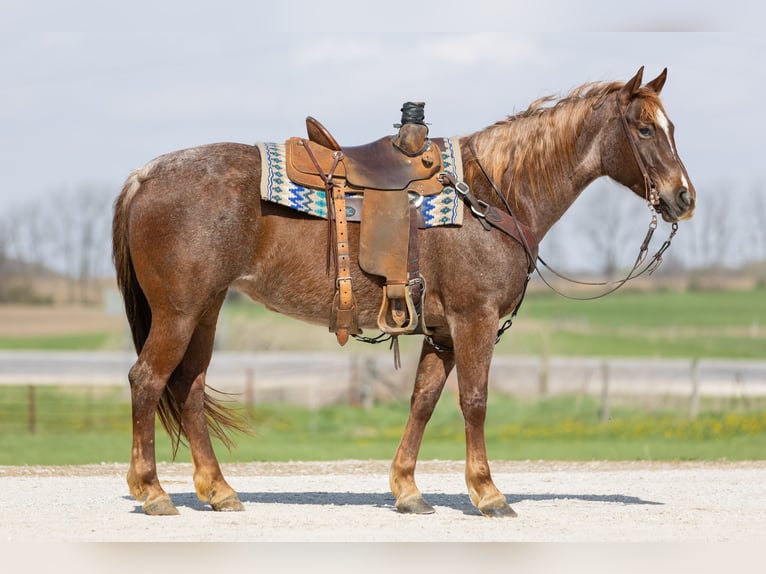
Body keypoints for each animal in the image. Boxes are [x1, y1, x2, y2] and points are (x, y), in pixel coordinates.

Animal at [112, 66, 695, 517]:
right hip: (178, 312)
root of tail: (146, 175)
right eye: (645, 129)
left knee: (188, 386)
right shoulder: (474, 320)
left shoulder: (441, 332)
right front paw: (487, 492)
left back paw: (218, 490)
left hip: (206, 311)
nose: (683, 197)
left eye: (671, 127)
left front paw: (408, 489)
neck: (491, 194)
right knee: (147, 380)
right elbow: (475, 401)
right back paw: (152, 491)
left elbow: (423, 401)